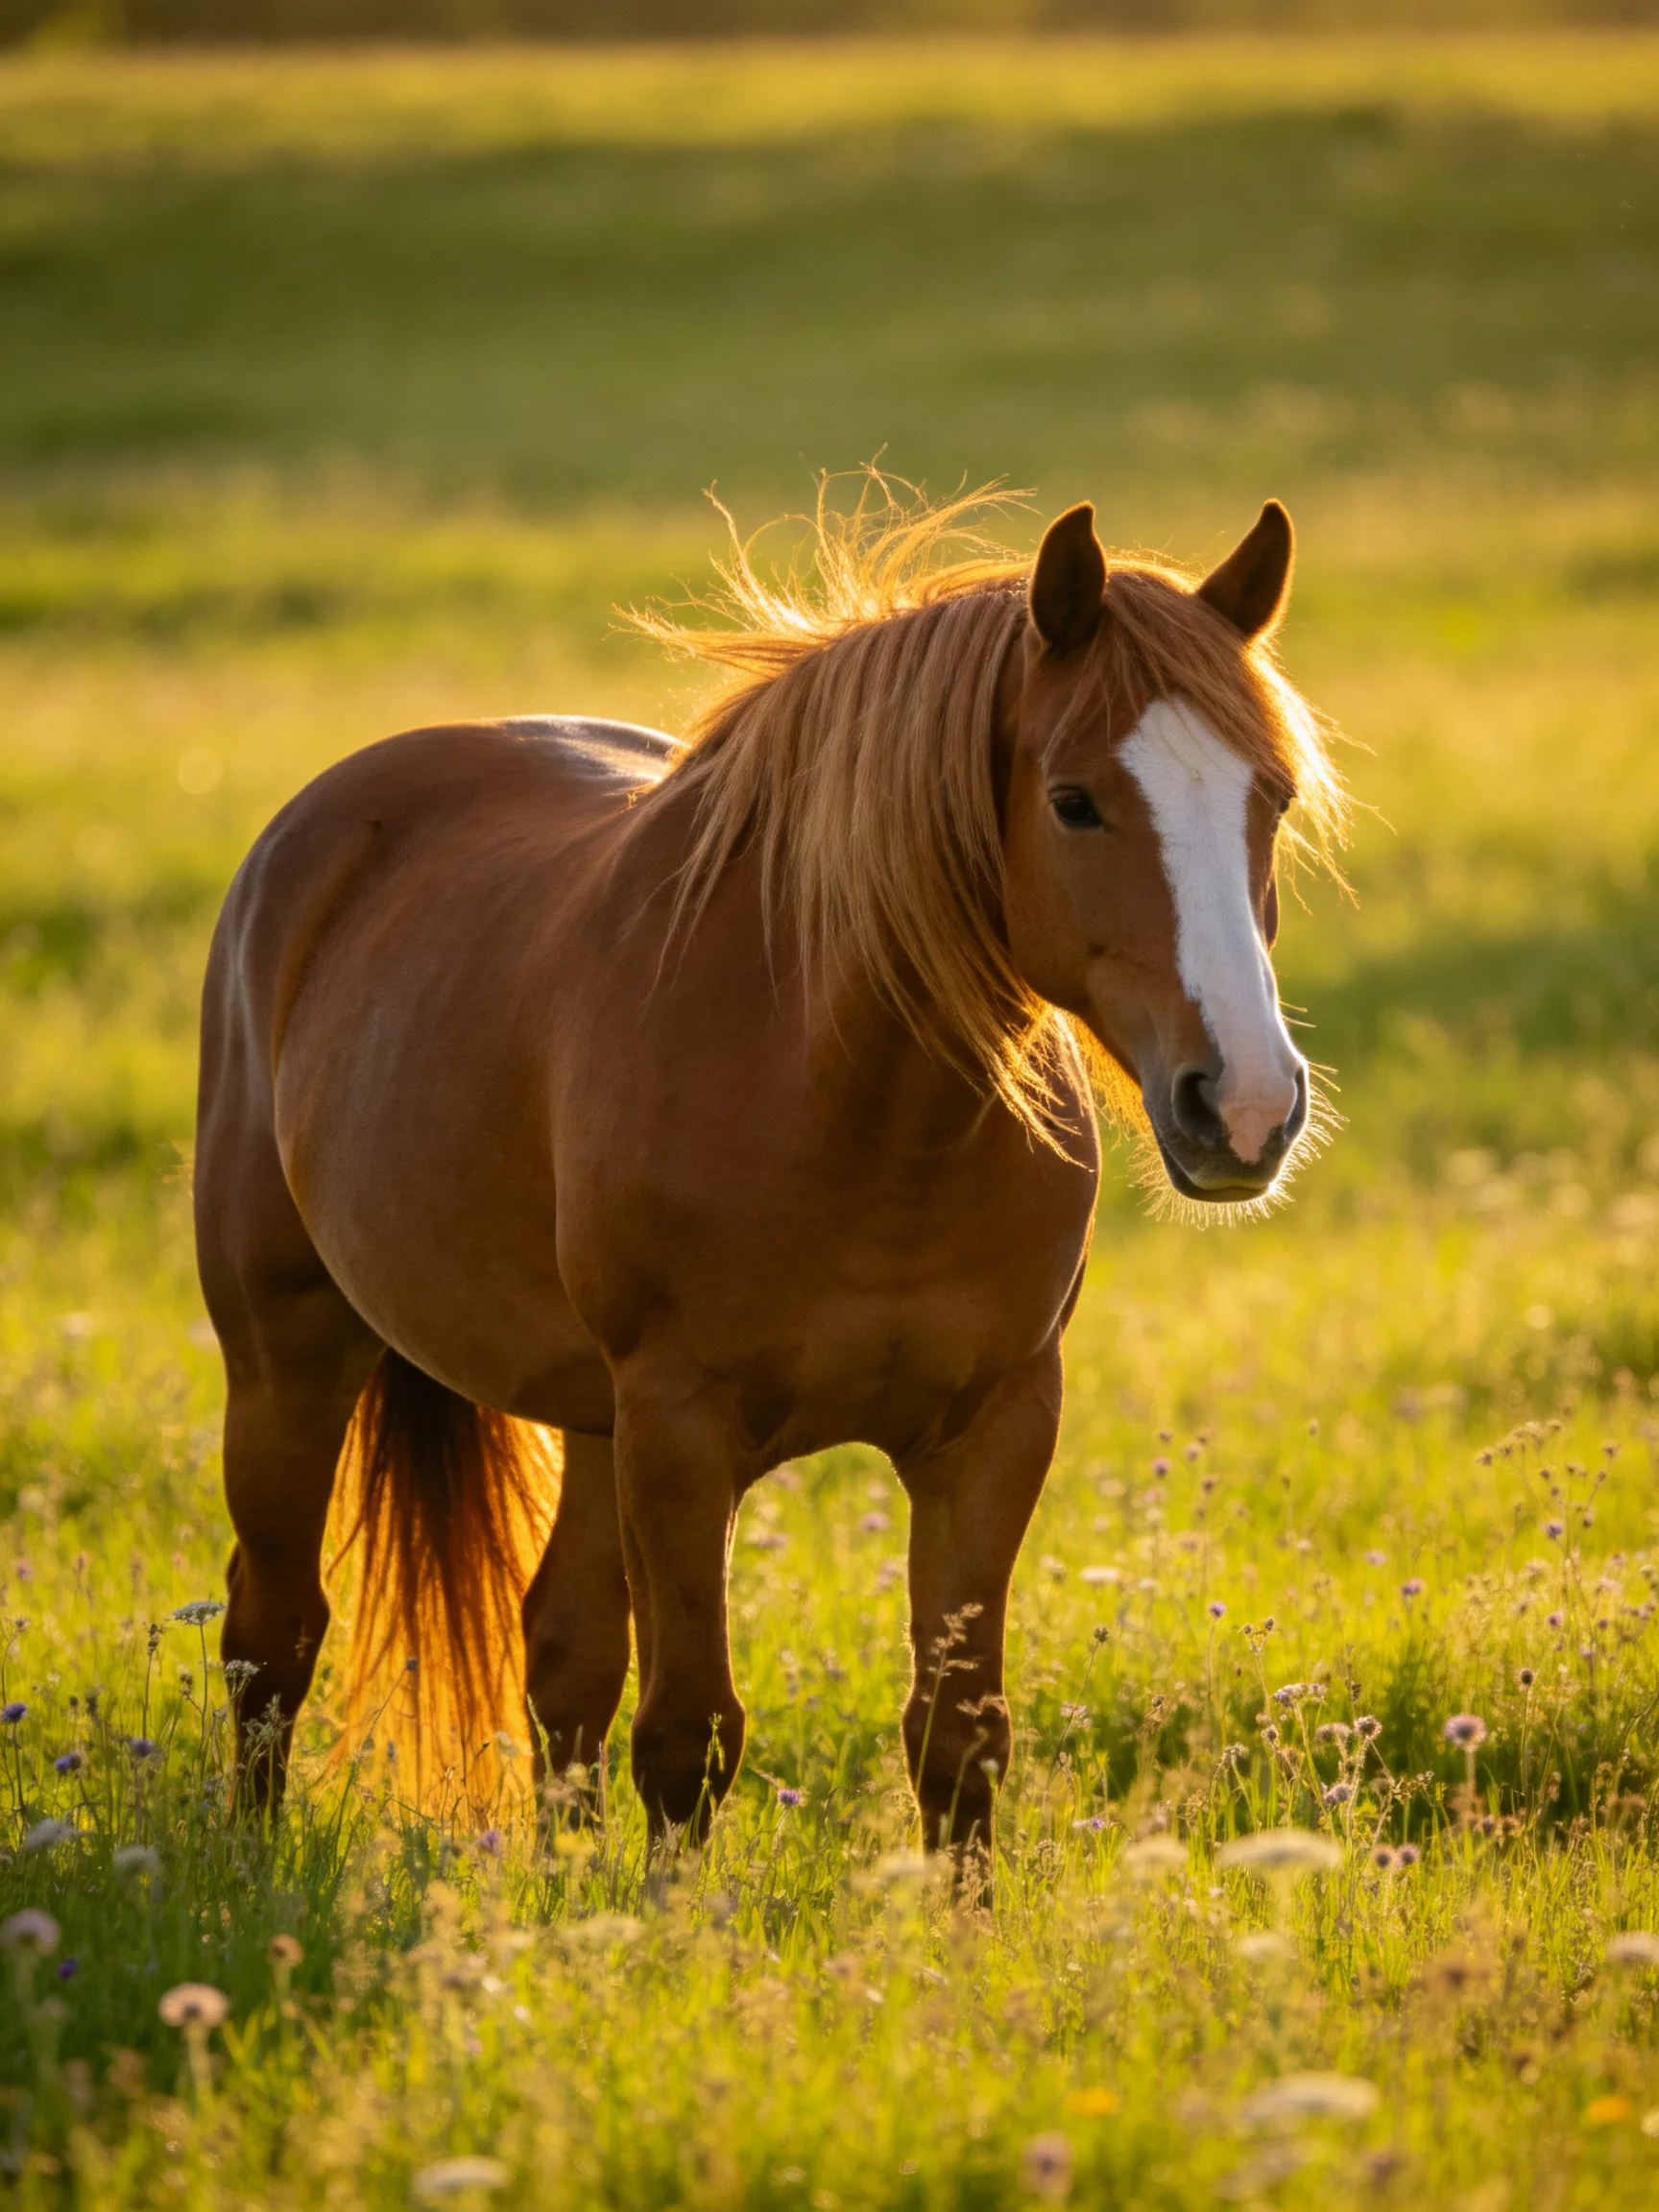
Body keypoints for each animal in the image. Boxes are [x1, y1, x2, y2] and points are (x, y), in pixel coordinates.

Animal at [195, 486, 1342, 1862]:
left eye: (1274, 798)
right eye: (1075, 802)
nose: (1246, 1106)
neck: (852, 1111)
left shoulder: (995, 1429)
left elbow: (958, 1741)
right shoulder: (682, 1432)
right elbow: (690, 1740)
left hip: (587, 1416)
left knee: (561, 1651)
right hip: (290, 1356)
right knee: (273, 1632)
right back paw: (252, 1872)